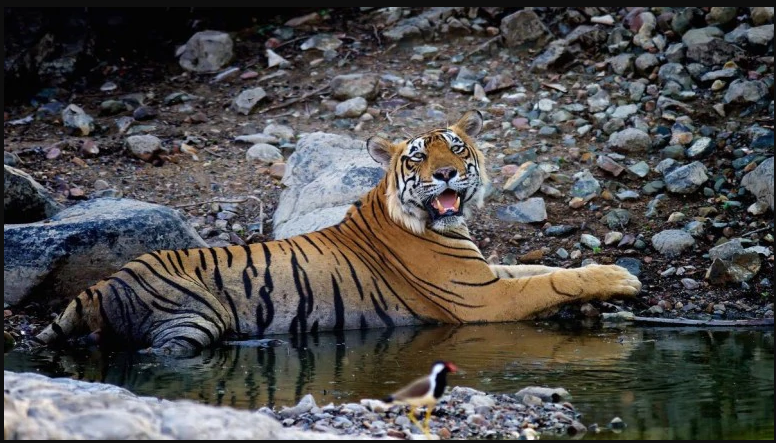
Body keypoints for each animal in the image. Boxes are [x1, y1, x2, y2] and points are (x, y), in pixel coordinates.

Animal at [34, 111, 644, 358]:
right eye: (419, 157)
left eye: (456, 148)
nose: (447, 174)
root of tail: (100, 285)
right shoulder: (483, 298)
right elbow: (554, 282)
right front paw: (621, 278)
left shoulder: (488, 275)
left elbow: (546, 270)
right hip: (190, 318)